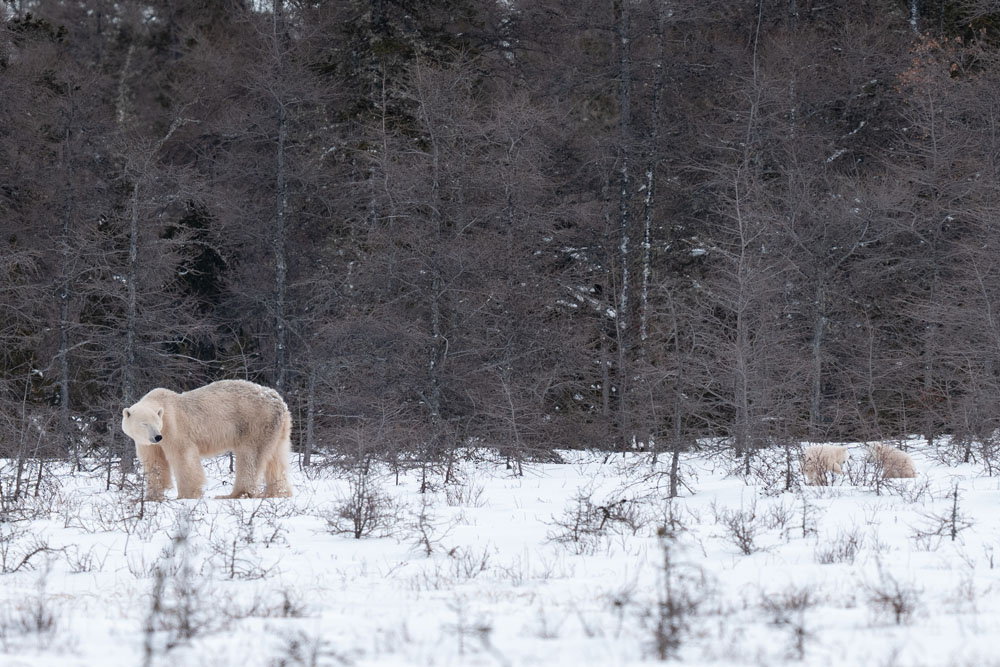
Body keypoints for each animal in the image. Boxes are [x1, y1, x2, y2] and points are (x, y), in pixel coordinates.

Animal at [122, 380, 292, 500]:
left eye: (157, 422)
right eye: (144, 423)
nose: (157, 437)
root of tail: (279, 402)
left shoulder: (173, 427)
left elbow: (183, 457)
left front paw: (186, 494)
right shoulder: (147, 443)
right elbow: (154, 463)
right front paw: (150, 496)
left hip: (255, 422)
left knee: (250, 456)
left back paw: (233, 494)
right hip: (279, 428)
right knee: (277, 458)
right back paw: (278, 492)